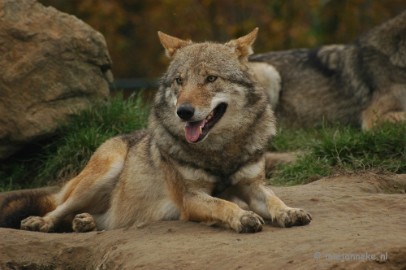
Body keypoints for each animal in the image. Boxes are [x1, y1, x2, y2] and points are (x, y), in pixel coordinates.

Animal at [0, 29, 310, 232]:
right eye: (179, 81)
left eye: (211, 78)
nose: (184, 112)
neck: (220, 151)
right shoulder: (190, 198)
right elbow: (223, 206)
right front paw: (244, 218)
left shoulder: (253, 186)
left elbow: (275, 199)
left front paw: (289, 212)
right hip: (101, 174)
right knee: (57, 209)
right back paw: (40, 222)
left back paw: (84, 222)